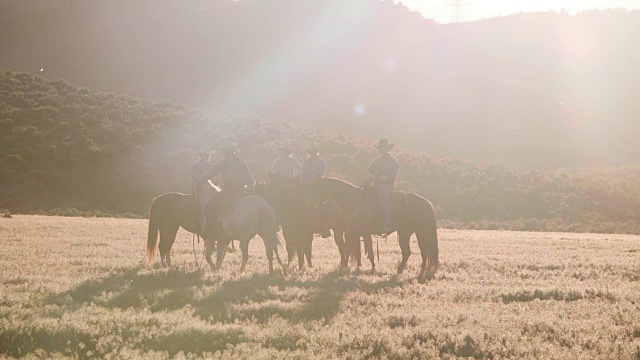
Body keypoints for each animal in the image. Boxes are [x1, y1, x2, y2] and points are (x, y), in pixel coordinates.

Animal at [308, 177, 438, 282]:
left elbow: (362, 251)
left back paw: (419, 274)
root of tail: (425, 202)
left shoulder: (360, 233)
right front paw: (356, 268)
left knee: (422, 252)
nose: (310, 203)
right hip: (408, 233)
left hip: (416, 233)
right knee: (410, 252)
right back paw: (402, 271)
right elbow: (354, 250)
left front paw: (369, 269)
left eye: (316, 188)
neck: (354, 200)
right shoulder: (354, 232)